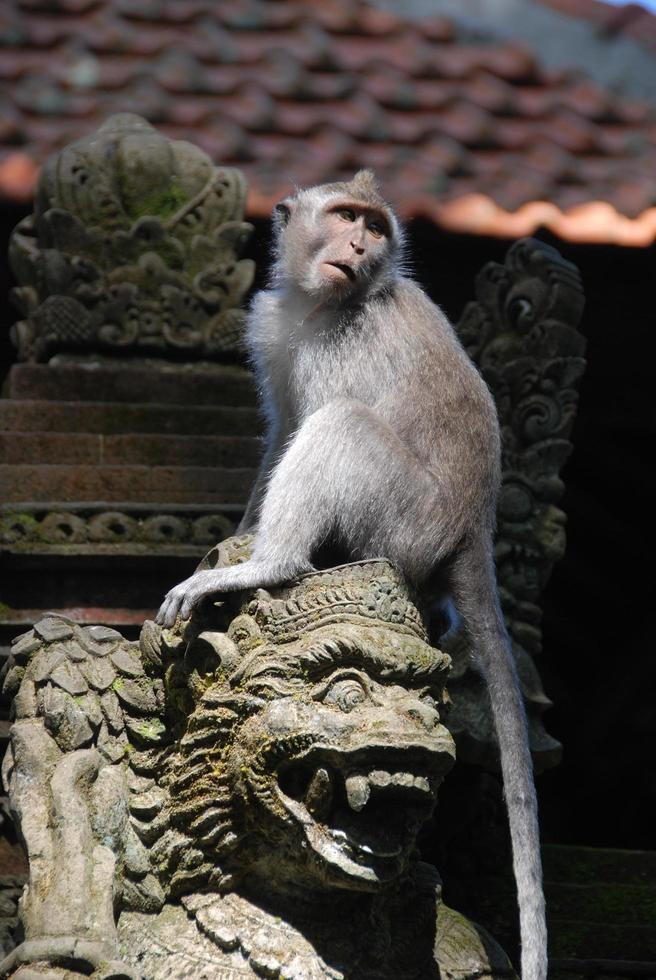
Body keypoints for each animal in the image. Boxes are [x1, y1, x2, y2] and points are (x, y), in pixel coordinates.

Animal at [158, 170, 548, 980]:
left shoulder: (336, 346)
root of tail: (473, 531)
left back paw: (275, 563)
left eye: (374, 226)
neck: (321, 303)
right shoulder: (276, 329)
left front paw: (250, 557)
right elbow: (279, 433)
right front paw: (233, 539)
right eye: (346, 217)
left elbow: (313, 421)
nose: (363, 246)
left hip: (405, 516)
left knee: (341, 424)